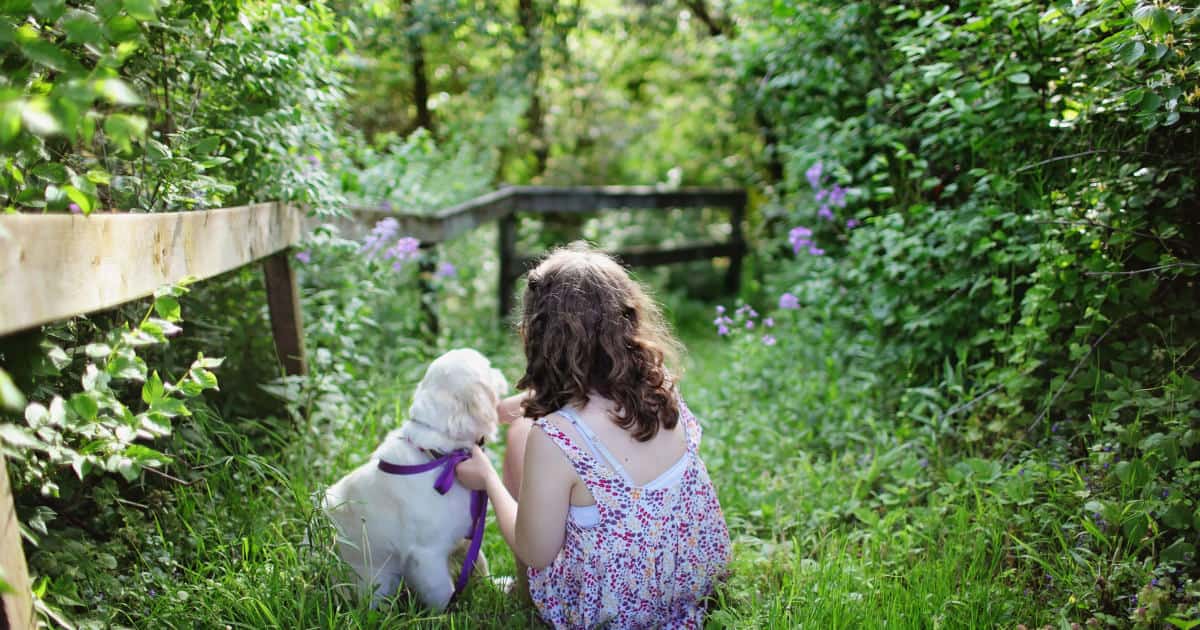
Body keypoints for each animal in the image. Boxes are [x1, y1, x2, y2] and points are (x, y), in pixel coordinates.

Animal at [324, 348, 506, 609]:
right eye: (488, 368)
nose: (501, 372)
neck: (441, 456)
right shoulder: (427, 555)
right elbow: (443, 592)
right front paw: (450, 613)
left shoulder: (466, 535)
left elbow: (479, 564)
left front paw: (497, 587)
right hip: (378, 581)